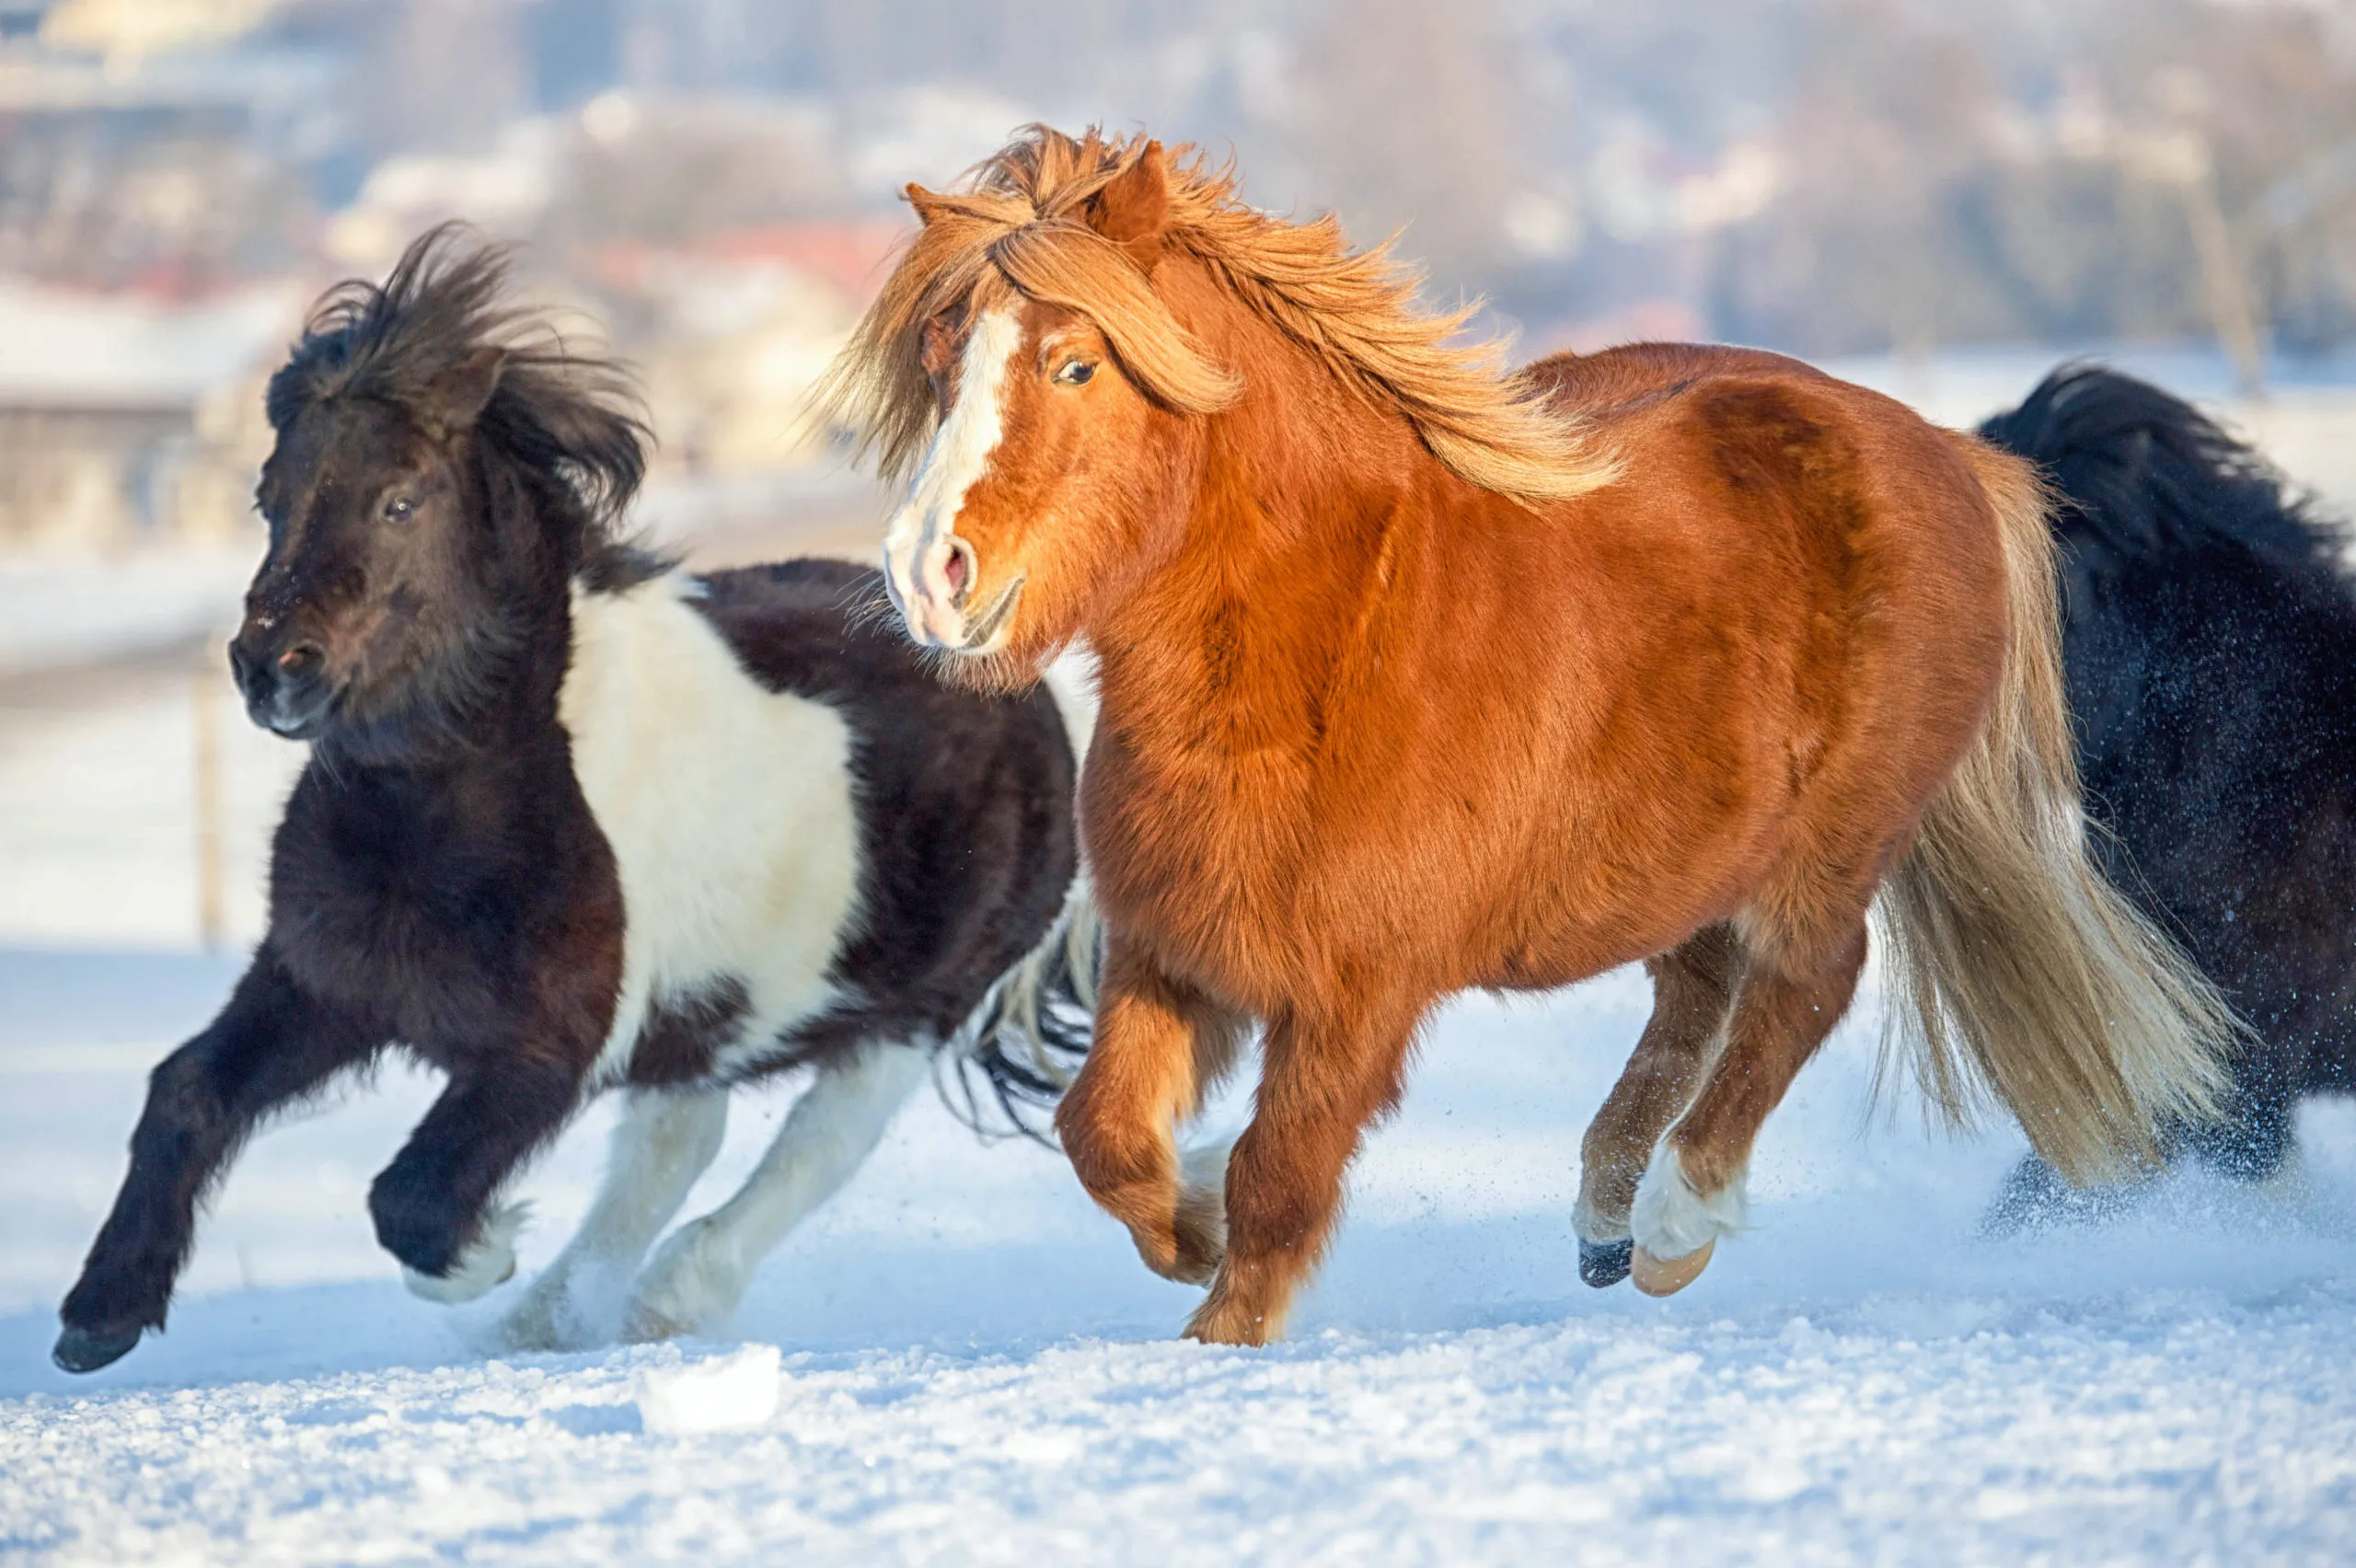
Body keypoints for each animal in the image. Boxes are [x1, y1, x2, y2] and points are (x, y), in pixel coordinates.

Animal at [52, 229, 1083, 1365]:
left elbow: (411, 1199)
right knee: (680, 1138)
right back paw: (556, 1320)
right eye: (268, 497)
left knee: (812, 1150)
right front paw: (97, 1317)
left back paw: (654, 1300)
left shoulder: (550, 1045)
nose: (273, 668)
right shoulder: (326, 980)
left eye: (400, 499)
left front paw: (488, 1248)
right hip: (722, 1012)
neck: (440, 817)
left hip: (904, 1015)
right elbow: (187, 1092)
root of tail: (1033, 702)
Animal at [819, 128, 2233, 1337]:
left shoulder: (1355, 995)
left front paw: (1224, 1329)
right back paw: (1606, 1214)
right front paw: (1195, 1212)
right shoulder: (1173, 948)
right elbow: (1106, 1137)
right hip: (1686, 860)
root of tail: (1939, 448)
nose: (928, 574)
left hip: (1831, 843)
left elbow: (1282, 1186)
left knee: (1804, 988)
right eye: (941, 364)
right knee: (1699, 997)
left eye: (1075, 363)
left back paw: (1673, 1225)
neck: (1326, 645)